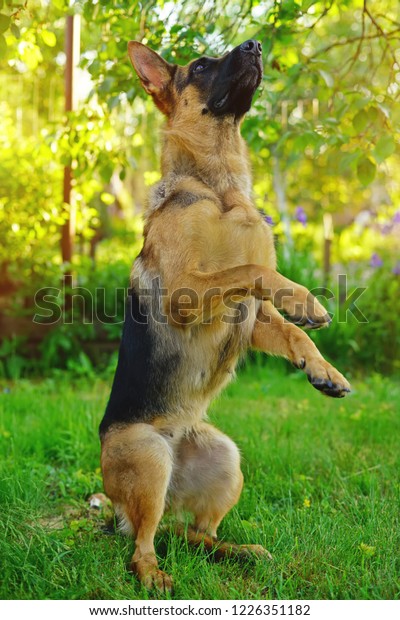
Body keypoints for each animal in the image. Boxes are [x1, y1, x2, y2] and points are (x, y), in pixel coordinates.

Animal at [100, 38, 350, 592]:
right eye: (199, 66)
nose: (256, 44)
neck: (219, 187)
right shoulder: (185, 293)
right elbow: (254, 268)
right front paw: (304, 299)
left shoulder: (252, 319)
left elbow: (293, 333)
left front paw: (324, 369)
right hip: (148, 456)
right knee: (141, 547)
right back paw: (154, 575)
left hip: (227, 461)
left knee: (198, 536)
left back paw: (240, 552)